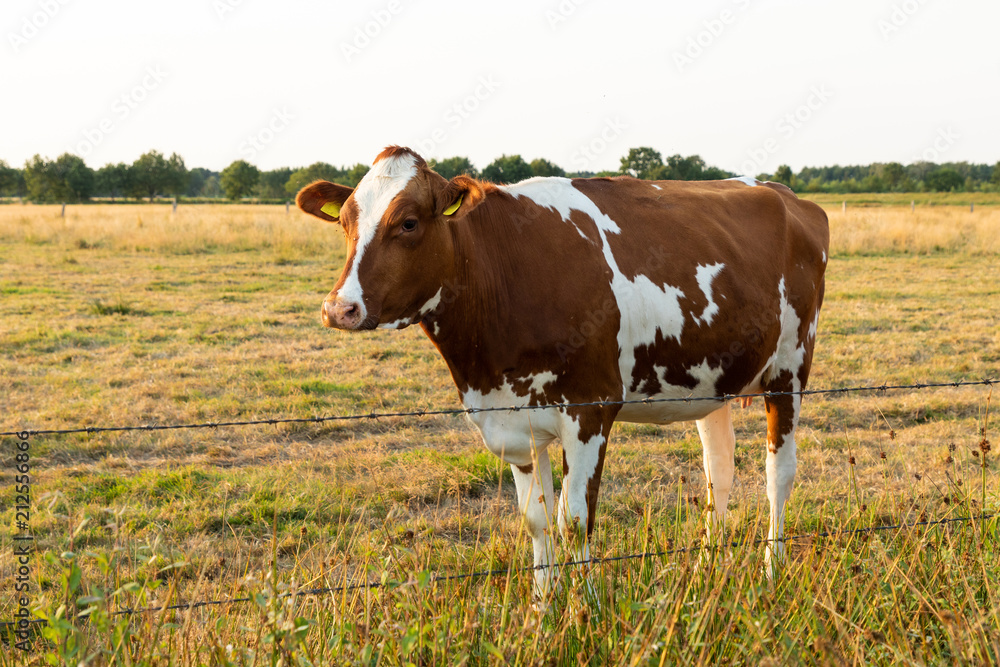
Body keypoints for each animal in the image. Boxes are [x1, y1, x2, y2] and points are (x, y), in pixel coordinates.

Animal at [296, 146, 829, 599]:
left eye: (408, 222)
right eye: (345, 221)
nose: (339, 308)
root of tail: (784, 194)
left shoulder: (591, 409)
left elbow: (575, 520)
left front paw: (585, 607)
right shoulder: (514, 419)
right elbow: (536, 520)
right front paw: (542, 606)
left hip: (789, 369)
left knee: (778, 474)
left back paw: (772, 570)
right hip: (711, 381)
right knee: (719, 473)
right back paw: (705, 570)